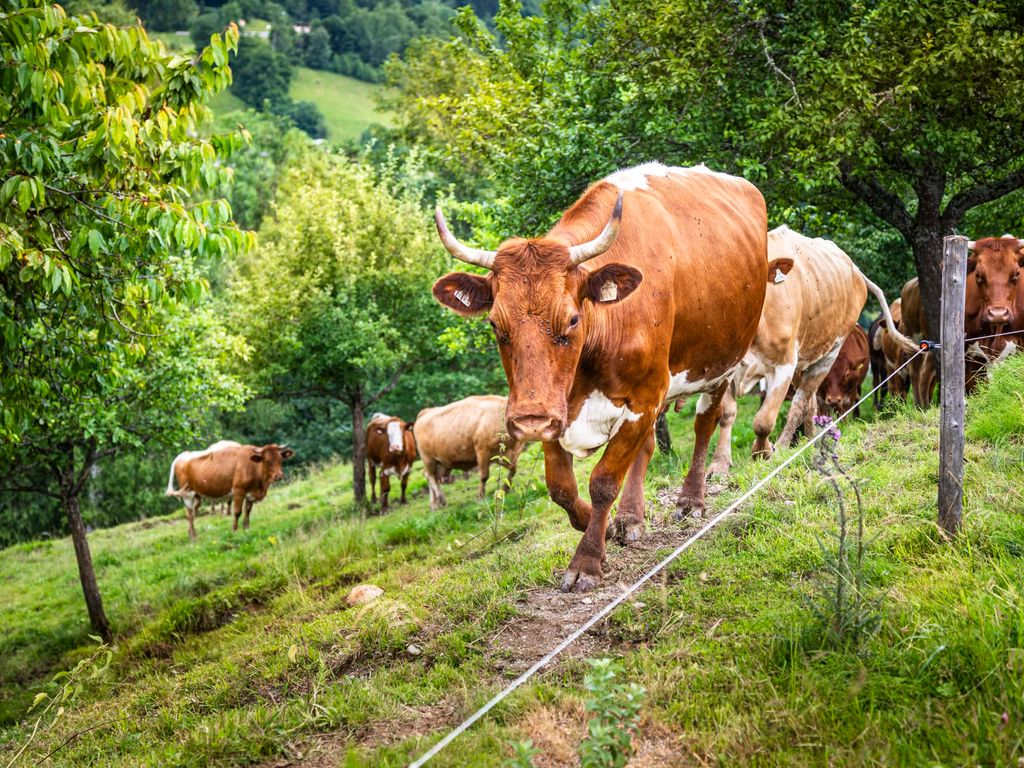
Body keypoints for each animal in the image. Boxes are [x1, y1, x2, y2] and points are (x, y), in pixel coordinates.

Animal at [432, 162, 780, 593]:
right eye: (495, 324)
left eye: (572, 319)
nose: (528, 419)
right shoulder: (557, 409)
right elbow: (561, 488)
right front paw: (601, 525)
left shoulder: (642, 398)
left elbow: (603, 482)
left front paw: (587, 561)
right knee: (647, 447)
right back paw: (630, 519)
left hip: (720, 364)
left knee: (705, 424)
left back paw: (691, 500)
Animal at [707, 227, 912, 476]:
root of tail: (853, 268)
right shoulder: (725, 369)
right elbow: (727, 414)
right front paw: (720, 464)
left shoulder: (784, 366)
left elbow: (764, 420)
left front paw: (763, 452)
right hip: (804, 359)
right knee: (810, 401)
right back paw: (809, 439)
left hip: (828, 354)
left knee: (800, 401)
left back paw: (784, 447)